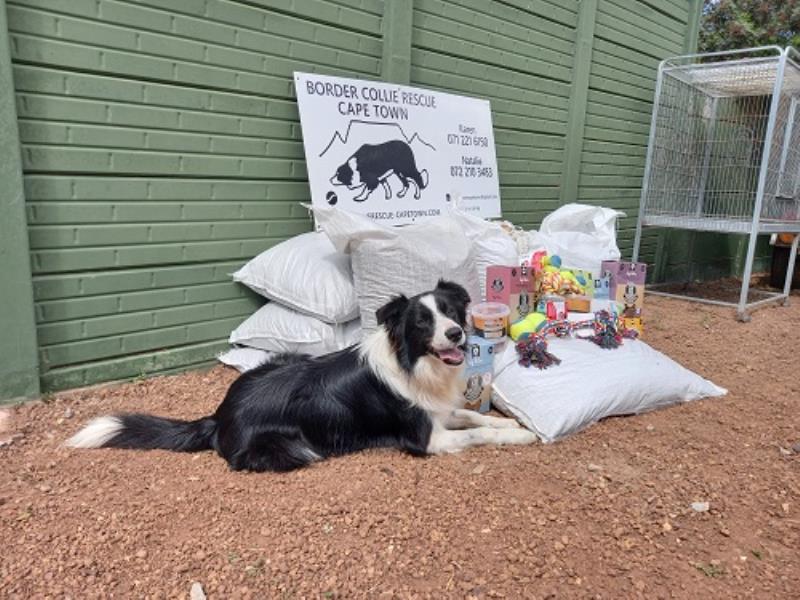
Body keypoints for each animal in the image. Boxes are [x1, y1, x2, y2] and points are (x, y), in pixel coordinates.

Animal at [65, 282, 536, 474]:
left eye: (452, 313)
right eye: (422, 323)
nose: (457, 334)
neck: (413, 362)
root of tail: (219, 414)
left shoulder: (437, 411)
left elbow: (476, 418)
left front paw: (516, 425)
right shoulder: (426, 438)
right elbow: (478, 434)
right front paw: (518, 435)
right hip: (296, 447)